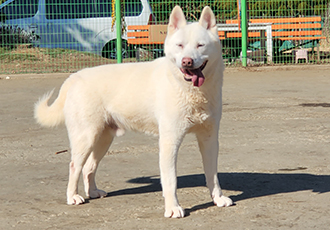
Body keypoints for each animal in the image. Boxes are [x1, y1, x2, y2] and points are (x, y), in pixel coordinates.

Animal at [34, 5, 232, 217]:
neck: (190, 90)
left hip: (103, 140)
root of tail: (74, 77)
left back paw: (93, 192)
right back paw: (73, 197)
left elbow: (212, 174)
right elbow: (170, 180)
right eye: (180, 45)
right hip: (86, 137)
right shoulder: (169, 141)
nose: (187, 62)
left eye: (200, 45)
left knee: (88, 167)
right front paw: (173, 208)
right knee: (74, 166)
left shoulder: (209, 139)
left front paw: (218, 198)